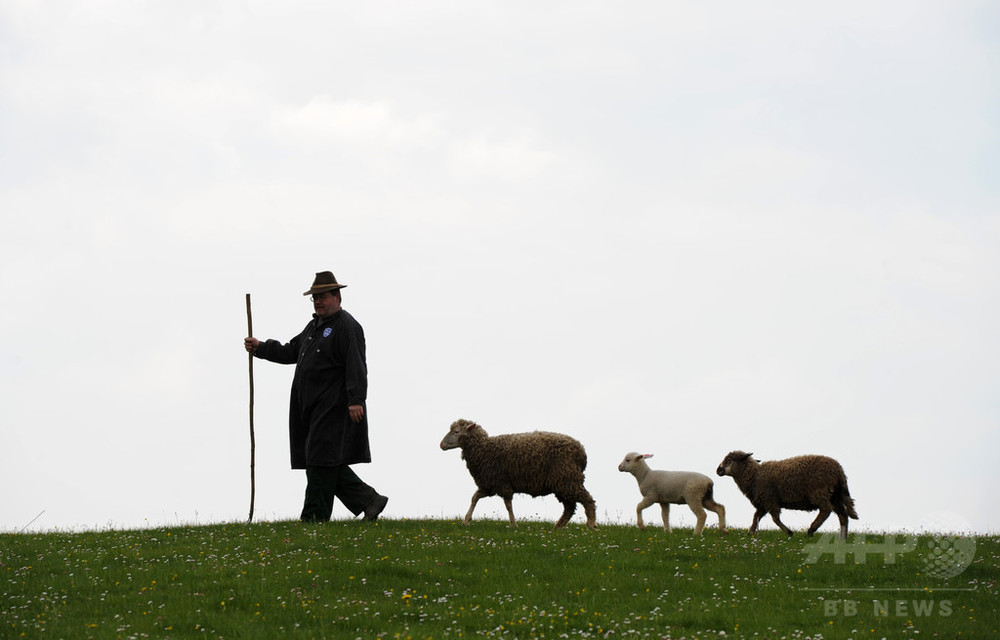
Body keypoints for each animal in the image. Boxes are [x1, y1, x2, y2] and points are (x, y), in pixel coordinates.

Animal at [436, 418, 592, 528]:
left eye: (456, 432)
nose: (441, 445)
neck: (484, 448)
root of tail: (582, 452)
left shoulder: (503, 484)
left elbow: (508, 505)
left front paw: (513, 524)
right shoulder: (489, 486)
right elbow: (474, 498)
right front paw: (466, 520)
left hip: (567, 478)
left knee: (587, 500)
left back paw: (591, 524)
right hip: (562, 482)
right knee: (569, 508)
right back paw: (557, 528)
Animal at [716, 450, 856, 540]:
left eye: (729, 460)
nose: (718, 470)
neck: (754, 476)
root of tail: (838, 470)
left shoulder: (770, 500)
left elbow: (775, 519)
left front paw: (789, 532)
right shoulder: (763, 503)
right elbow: (756, 517)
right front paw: (750, 533)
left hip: (820, 492)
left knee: (826, 510)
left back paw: (811, 530)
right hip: (836, 496)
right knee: (843, 515)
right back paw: (843, 538)